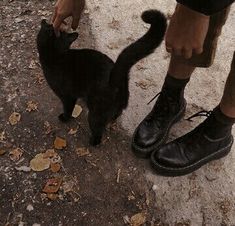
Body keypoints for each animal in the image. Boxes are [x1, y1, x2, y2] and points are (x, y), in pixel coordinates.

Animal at [36, 10, 166, 145]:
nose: (74, 34)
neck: (55, 56)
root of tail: (116, 77)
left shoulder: (67, 96)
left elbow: (68, 108)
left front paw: (65, 118)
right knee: (115, 114)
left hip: (95, 113)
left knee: (98, 131)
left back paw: (92, 142)